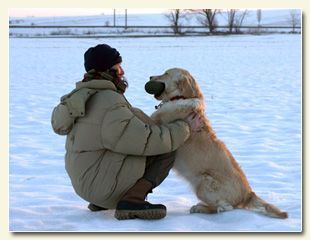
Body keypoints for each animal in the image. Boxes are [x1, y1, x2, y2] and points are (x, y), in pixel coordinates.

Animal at [145, 67, 288, 219]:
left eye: (166, 73)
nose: (150, 77)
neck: (182, 97)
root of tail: (248, 194)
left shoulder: (157, 122)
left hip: (203, 183)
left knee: (224, 207)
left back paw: (200, 208)